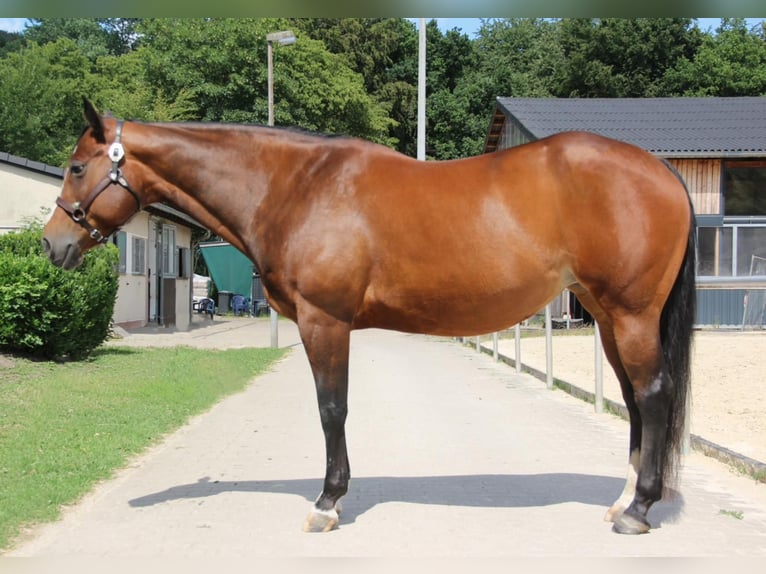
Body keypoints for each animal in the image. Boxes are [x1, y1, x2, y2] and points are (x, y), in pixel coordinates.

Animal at [43, 99, 696, 535]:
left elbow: (332, 408)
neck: (296, 187)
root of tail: (660, 169)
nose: (51, 244)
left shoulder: (324, 321)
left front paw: (327, 503)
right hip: (608, 317)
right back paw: (622, 502)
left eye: (76, 167)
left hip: (631, 314)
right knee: (634, 400)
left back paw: (638, 511)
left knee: (653, 395)